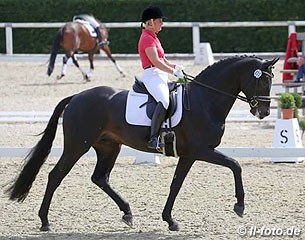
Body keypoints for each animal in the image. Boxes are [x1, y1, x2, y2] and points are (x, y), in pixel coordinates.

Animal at [6, 55, 278, 231]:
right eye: (262, 80)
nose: (264, 112)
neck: (205, 100)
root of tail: (76, 97)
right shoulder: (202, 150)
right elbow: (235, 165)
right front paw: (240, 206)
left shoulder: (189, 154)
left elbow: (176, 184)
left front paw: (170, 220)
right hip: (77, 146)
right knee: (55, 176)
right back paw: (44, 221)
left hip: (109, 147)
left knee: (100, 178)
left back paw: (127, 213)